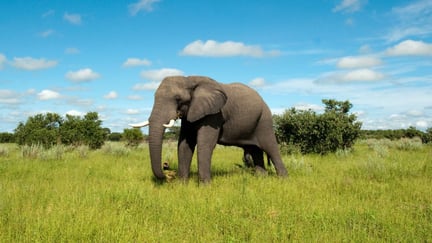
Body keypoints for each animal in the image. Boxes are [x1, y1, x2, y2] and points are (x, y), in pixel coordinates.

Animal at [130, 76, 288, 182]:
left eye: (178, 99)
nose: (167, 169)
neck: (189, 79)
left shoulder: (214, 114)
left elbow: (205, 144)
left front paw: (205, 186)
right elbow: (184, 144)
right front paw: (182, 184)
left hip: (264, 120)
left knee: (270, 147)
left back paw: (283, 180)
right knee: (255, 150)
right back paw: (261, 179)